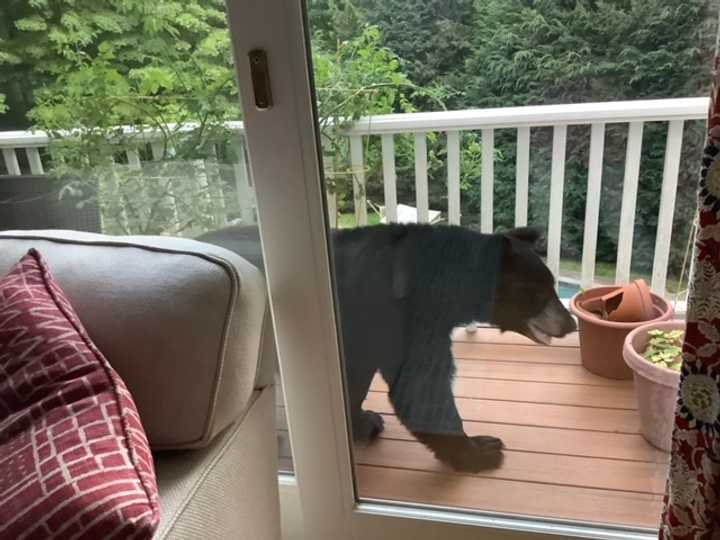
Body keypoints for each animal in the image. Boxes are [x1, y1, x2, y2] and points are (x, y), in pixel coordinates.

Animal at [195, 224, 572, 472]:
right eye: (541, 290)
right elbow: (421, 386)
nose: (570, 323)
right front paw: (481, 449)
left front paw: (362, 422)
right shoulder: (394, 318)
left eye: (553, 285)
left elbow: (358, 378)